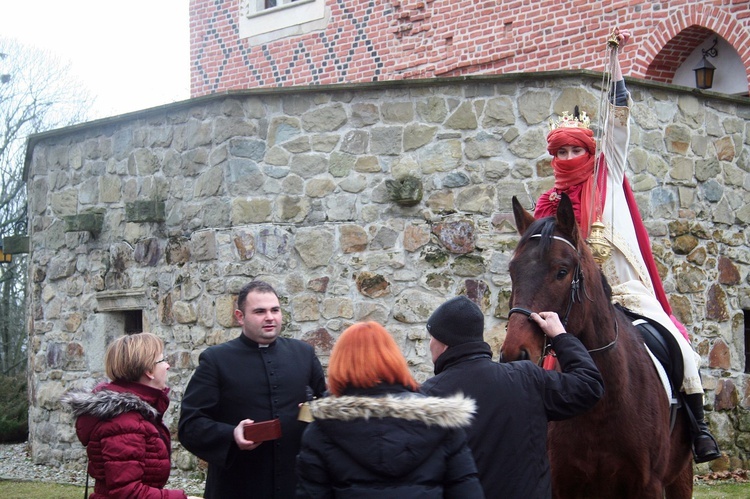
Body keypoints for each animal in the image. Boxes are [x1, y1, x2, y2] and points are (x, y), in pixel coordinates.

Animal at [502, 195, 696, 499]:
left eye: (561, 271)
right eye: (513, 271)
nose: (514, 353)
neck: (603, 405)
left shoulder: (648, 485)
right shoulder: (562, 484)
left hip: (680, 478)